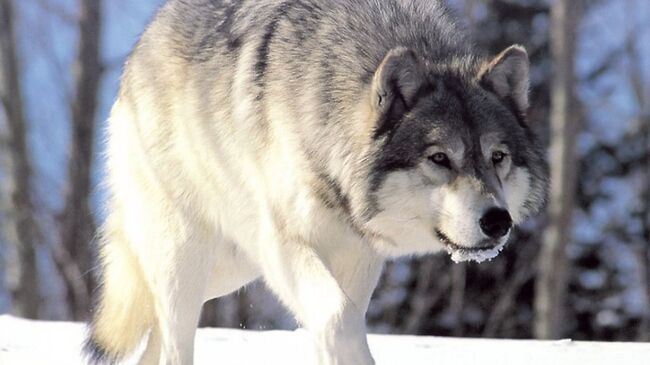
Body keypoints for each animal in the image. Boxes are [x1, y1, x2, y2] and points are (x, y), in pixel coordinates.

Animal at [85, 0, 548, 362]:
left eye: (497, 158)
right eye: (440, 158)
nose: (498, 221)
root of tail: (142, 44)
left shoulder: (358, 255)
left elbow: (343, 318)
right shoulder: (284, 244)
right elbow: (339, 318)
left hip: (232, 268)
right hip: (189, 257)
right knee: (173, 339)